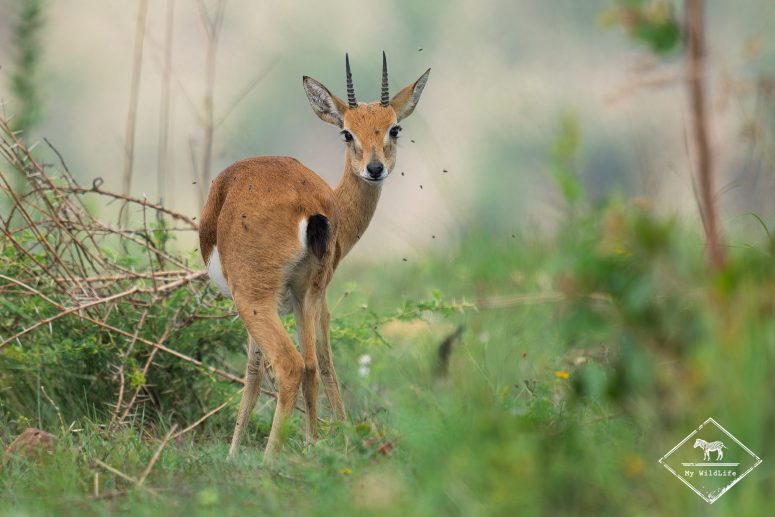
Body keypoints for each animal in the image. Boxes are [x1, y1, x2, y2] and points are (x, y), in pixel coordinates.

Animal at [199, 53, 430, 457]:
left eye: (394, 129)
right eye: (347, 132)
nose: (374, 169)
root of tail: (307, 204)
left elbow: (254, 371)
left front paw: (232, 455)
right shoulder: (316, 296)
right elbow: (322, 363)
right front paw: (325, 438)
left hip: (254, 299)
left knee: (290, 364)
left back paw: (270, 457)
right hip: (306, 291)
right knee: (309, 364)